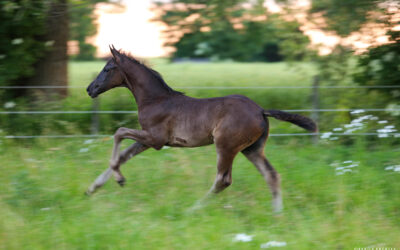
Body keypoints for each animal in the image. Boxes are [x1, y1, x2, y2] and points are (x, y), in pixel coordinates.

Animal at [86, 46, 318, 212]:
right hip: (252, 149)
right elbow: (124, 155)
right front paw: (94, 187)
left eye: (107, 69)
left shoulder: (156, 139)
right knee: (271, 175)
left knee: (223, 180)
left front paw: (119, 179)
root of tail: (261, 110)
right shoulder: (148, 140)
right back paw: (277, 215)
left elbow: (119, 133)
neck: (155, 99)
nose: (90, 89)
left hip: (225, 146)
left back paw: (193, 209)